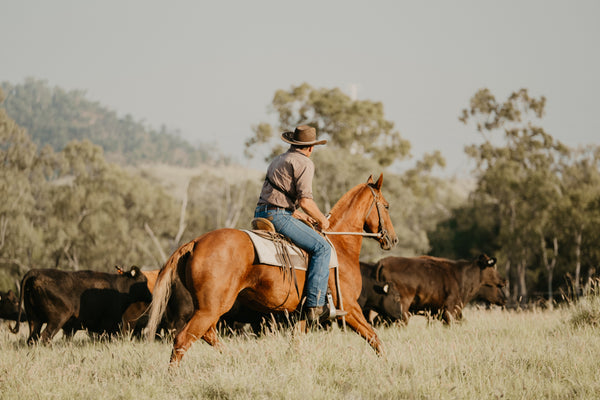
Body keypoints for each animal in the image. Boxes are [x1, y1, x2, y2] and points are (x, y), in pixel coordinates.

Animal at [10, 266, 152, 344]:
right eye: (144, 282)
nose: (151, 296)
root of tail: (35, 272)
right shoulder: (110, 325)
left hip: (34, 319)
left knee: (32, 339)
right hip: (56, 319)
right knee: (45, 337)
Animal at [146, 173, 398, 364]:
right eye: (386, 206)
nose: (392, 239)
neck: (339, 245)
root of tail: (196, 242)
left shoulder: (304, 314)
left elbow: (295, 345)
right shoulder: (350, 308)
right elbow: (375, 338)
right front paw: (388, 365)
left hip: (208, 309)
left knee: (207, 335)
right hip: (211, 308)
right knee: (183, 340)